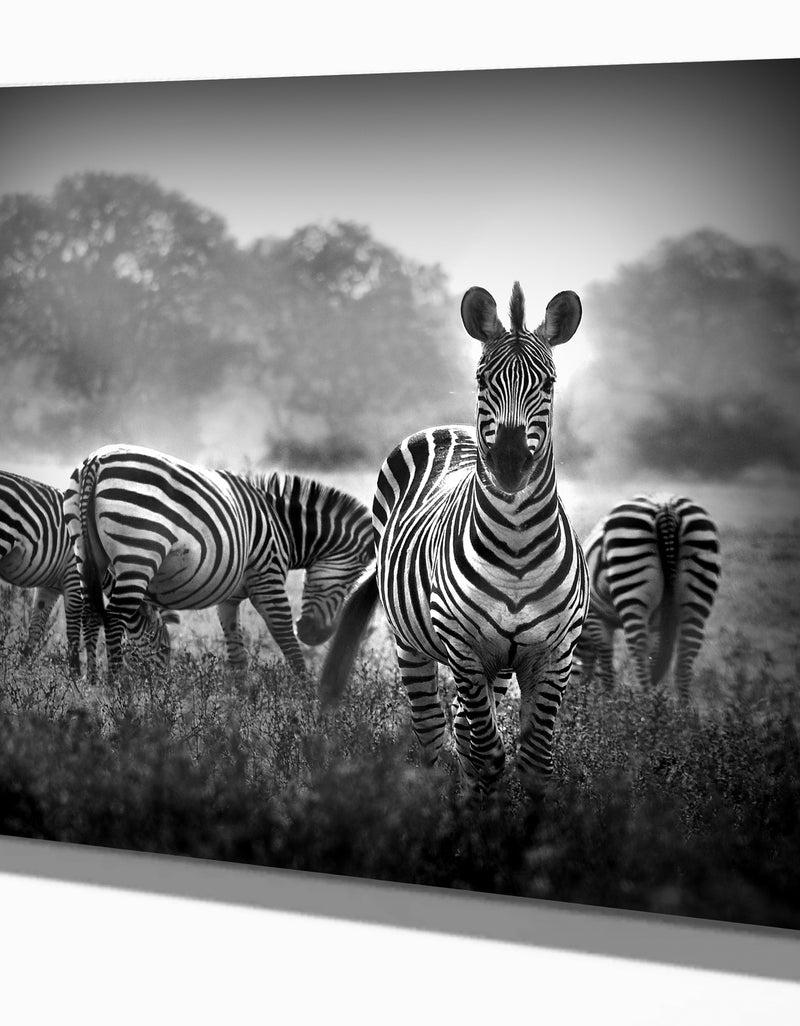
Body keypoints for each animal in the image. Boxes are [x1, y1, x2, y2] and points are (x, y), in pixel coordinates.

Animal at [0, 470, 83, 672]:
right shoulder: (74, 576)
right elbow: (74, 633)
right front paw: (76, 675)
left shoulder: (50, 587)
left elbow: (36, 628)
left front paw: (22, 671)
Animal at [63, 445, 373, 677]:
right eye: (351, 581)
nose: (315, 636)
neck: (283, 527)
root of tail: (96, 461)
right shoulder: (268, 576)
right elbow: (285, 638)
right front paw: (307, 700)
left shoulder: (230, 599)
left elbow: (237, 657)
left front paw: (243, 707)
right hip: (138, 555)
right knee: (114, 617)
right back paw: (118, 688)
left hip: (85, 552)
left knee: (91, 614)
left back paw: (92, 685)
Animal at [320, 283, 589, 796]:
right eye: (483, 380)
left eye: (548, 384)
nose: (508, 464)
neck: (518, 547)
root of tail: (449, 428)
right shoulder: (464, 647)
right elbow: (486, 752)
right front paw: (476, 812)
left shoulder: (555, 652)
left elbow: (534, 762)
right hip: (412, 644)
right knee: (432, 731)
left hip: (497, 666)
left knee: (463, 724)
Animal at [574, 494, 721, 696]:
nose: (575, 693)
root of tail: (666, 507)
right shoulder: (656, 625)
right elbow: (654, 653)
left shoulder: (597, 617)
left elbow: (606, 662)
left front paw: (607, 698)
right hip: (698, 585)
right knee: (686, 653)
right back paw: (673, 704)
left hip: (630, 580)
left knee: (638, 648)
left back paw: (644, 698)